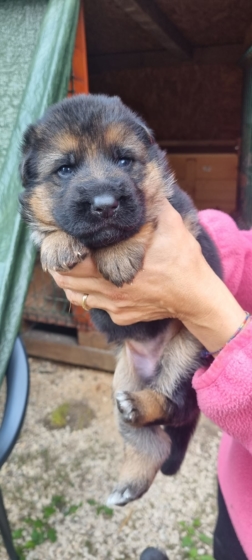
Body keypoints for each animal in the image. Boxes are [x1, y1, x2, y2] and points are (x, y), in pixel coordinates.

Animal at [19, 95, 220, 508]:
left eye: (124, 160)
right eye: (65, 169)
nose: (105, 204)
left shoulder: (179, 214)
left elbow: (149, 214)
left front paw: (120, 253)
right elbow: (44, 226)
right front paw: (58, 243)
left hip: (186, 351)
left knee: (174, 406)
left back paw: (143, 407)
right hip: (122, 377)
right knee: (151, 440)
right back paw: (129, 484)